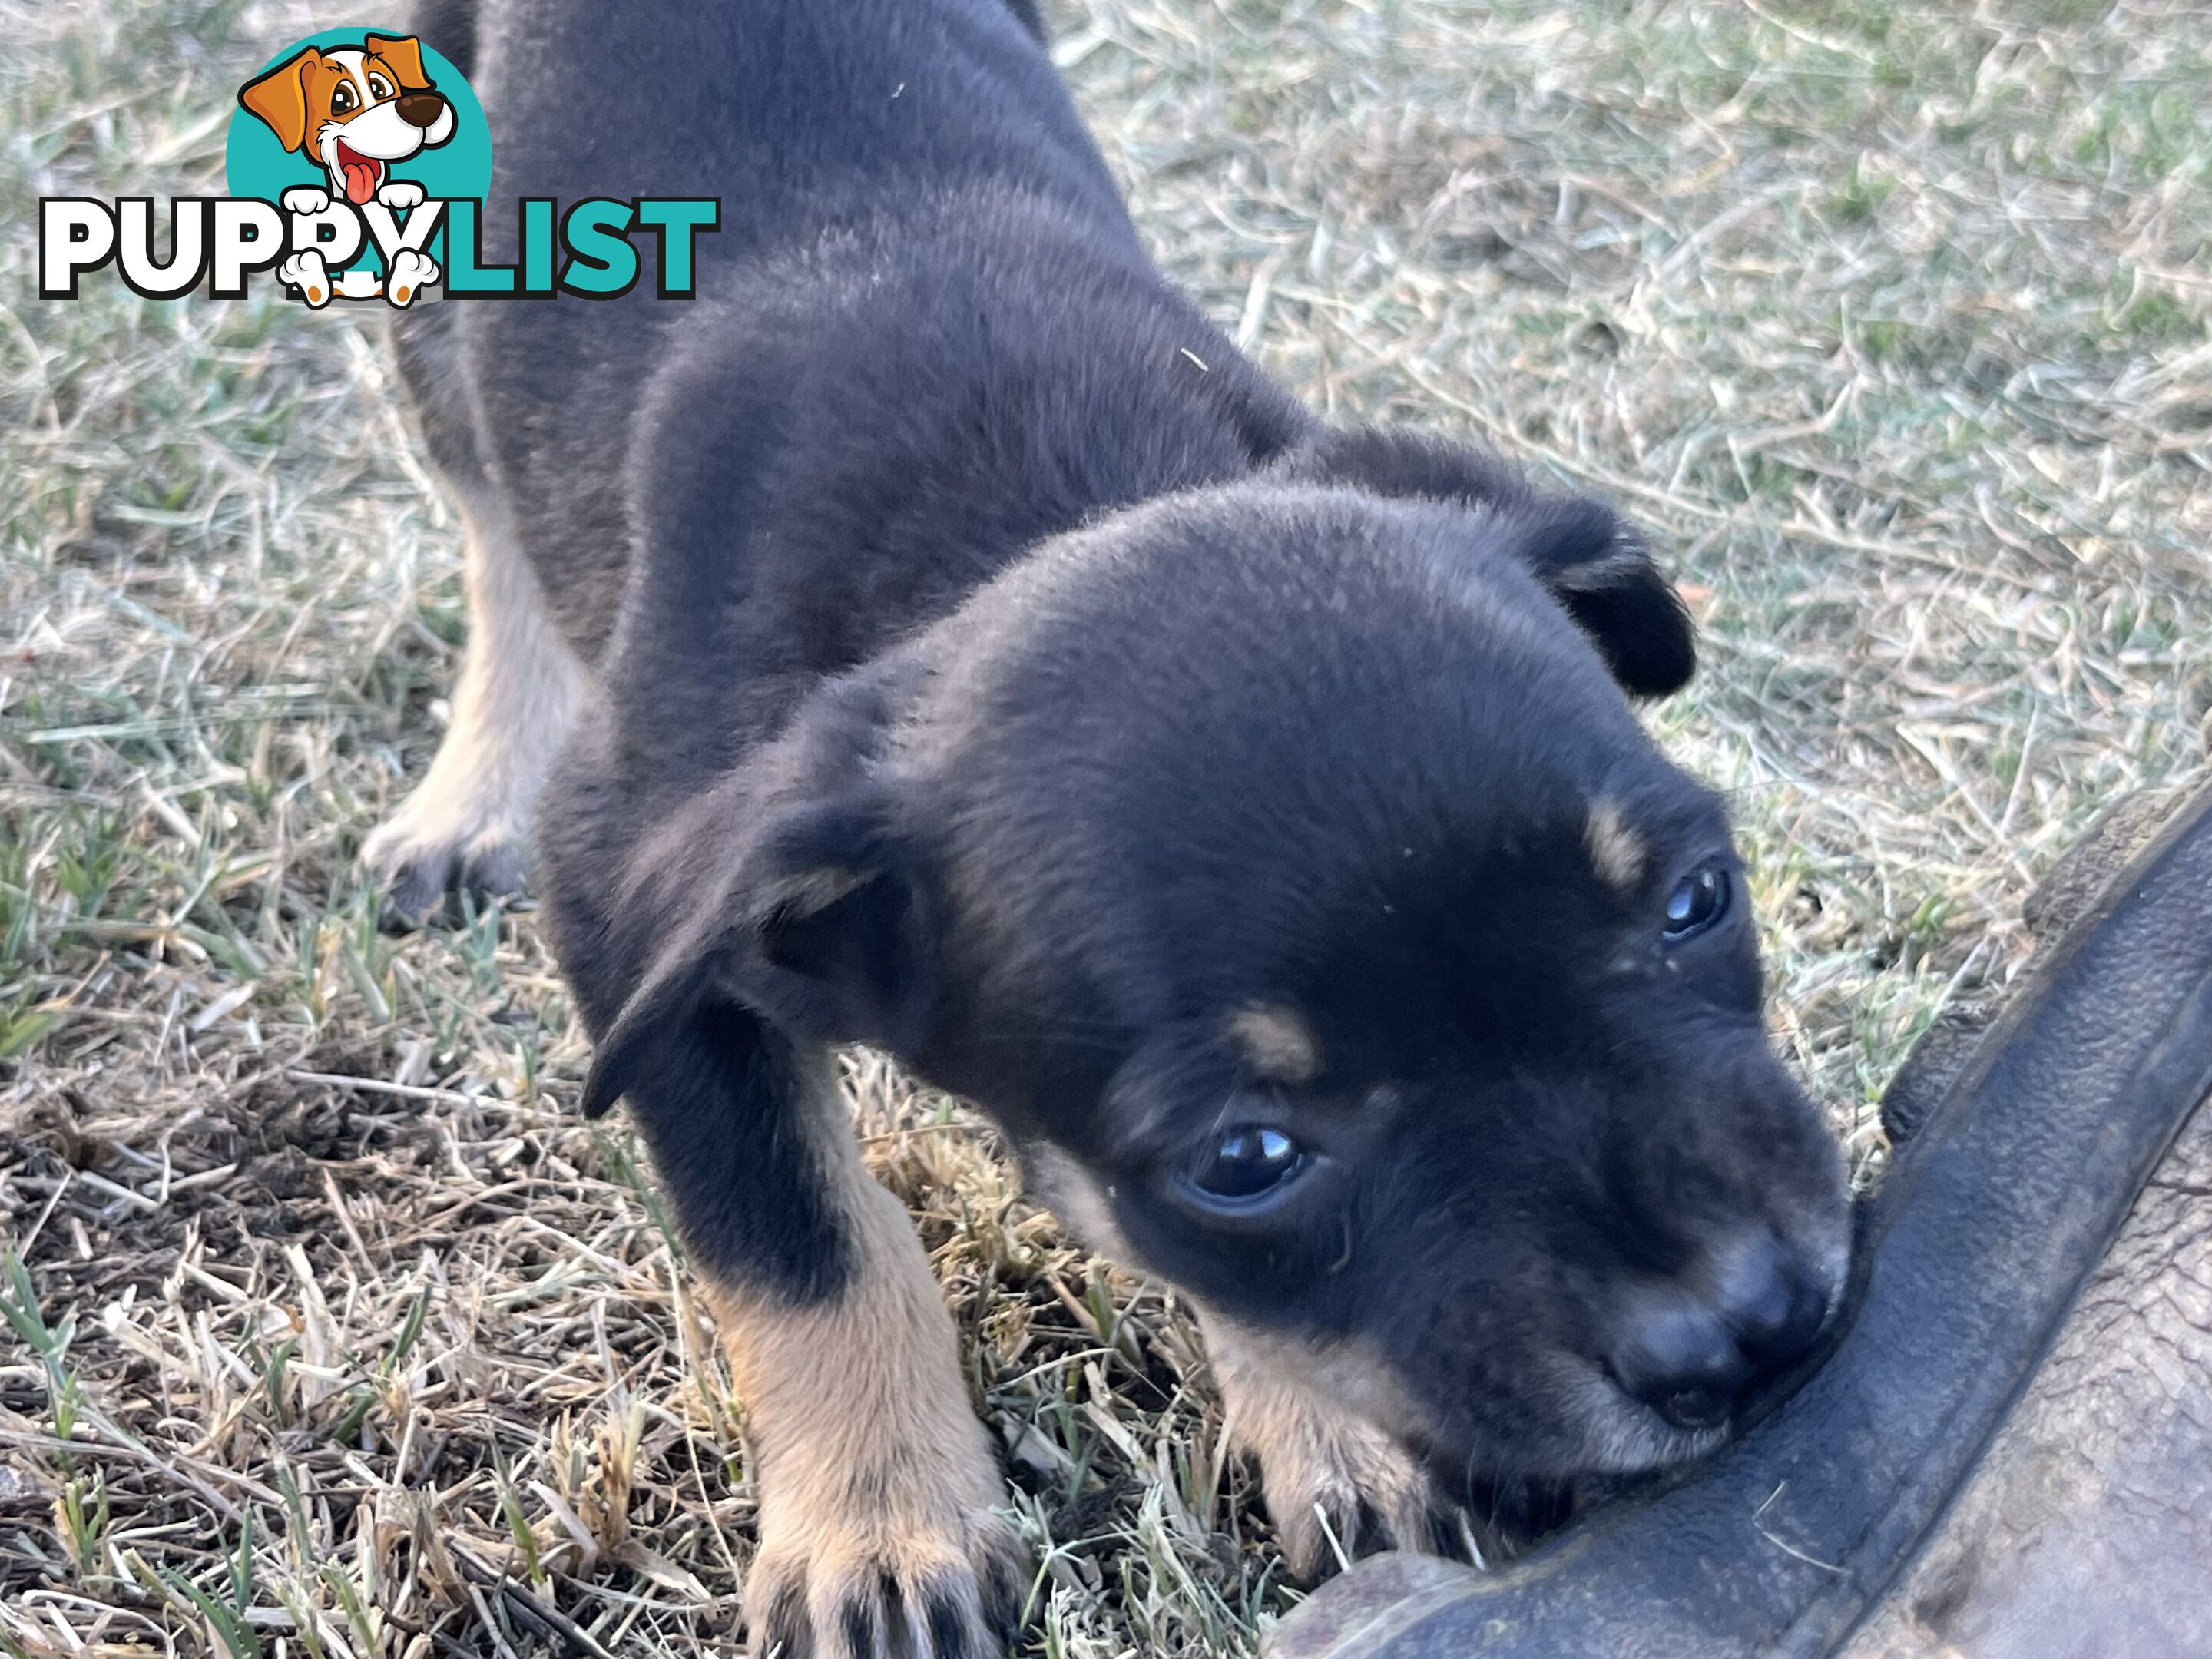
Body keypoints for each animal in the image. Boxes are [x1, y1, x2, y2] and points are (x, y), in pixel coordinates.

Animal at [376, 6, 1849, 1654]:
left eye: (1698, 900)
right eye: (1245, 1158)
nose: (1748, 1331)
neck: (1024, 514)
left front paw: (1332, 1436)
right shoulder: (633, 913)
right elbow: (801, 1234)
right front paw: (881, 1528)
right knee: (482, 508)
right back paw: (473, 789)